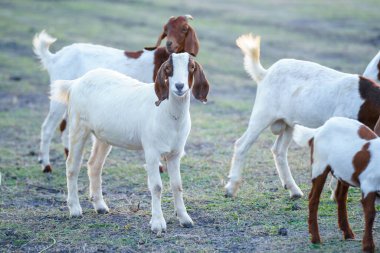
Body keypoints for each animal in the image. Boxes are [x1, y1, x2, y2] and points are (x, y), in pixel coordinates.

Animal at [33, 14, 199, 173]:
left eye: (184, 28)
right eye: (166, 29)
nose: (170, 44)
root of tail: (55, 58)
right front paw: (157, 165)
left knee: (64, 127)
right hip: (59, 98)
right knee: (48, 127)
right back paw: (46, 164)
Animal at [49, 52, 209, 235]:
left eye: (191, 67)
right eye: (168, 68)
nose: (180, 86)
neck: (168, 112)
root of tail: (75, 82)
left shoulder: (175, 153)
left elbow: (177, 185)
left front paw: (185, 219)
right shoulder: (151, 151)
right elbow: (156, 186)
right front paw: (158, 223)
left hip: (103, 136)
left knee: (94, 165)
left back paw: (100, 206)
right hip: (78, 127)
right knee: (72, 166)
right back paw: (75, 209)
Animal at [226, 33, 380, 199]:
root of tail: (265, 74)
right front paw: (335, 192)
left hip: (288, 123)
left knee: (279, 151)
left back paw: (294, 190)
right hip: (263, 114)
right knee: (242, 144)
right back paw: (231, 188)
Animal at [294, 116, 378, 253]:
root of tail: (320, 129)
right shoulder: (368, 185)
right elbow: (370, 214)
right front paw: (368, 246)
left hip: (344, 171)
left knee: (340, 197)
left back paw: (347, 232)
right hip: (320, 166)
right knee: (313, 199)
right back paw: (315, 238)